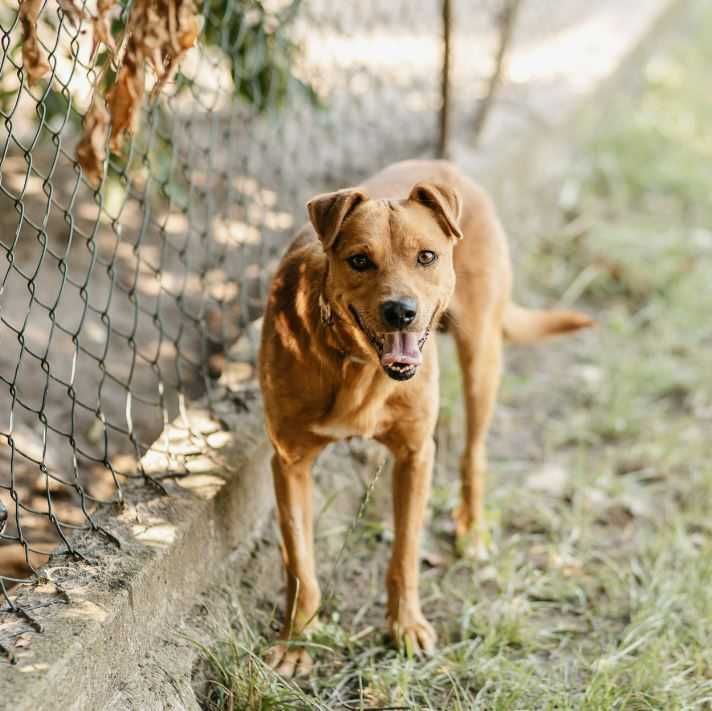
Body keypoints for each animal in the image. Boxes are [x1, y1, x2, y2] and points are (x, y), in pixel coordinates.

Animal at [258, 159, 592, 676]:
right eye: (359, 260)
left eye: (427, 257)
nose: (401, 311)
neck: (357, 364)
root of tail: (446, 167)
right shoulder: (290, 461)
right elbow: (300, 564)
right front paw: (296, 640)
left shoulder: (416, 454)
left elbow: (405, 554)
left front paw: (405, 625)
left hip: (482, 355)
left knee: (474, 454)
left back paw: (471, 531)